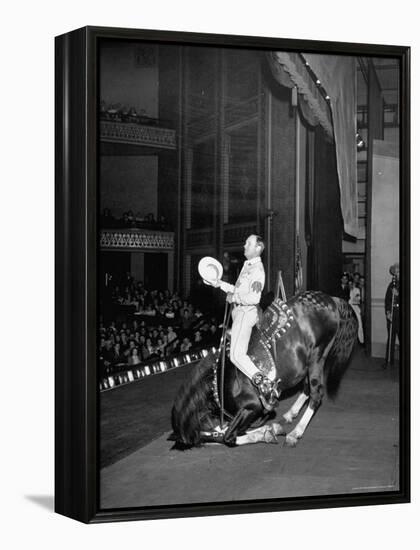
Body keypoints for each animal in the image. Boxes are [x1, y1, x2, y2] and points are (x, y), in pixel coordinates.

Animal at [171, 292, 358, 450]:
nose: (201, 442)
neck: (222, 380)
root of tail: (331, 300)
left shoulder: (251, 407)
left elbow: (229, 436)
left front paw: (268, 432)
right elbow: (231, 432)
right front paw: (272, 429)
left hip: (317, 356)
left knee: (316, 393)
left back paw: (295, 433)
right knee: (307, 388)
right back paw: (290, 414)